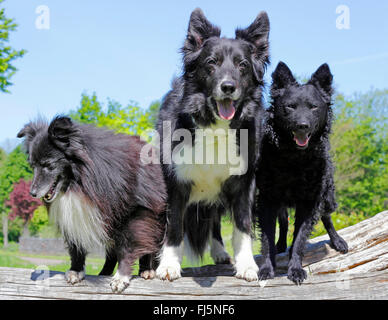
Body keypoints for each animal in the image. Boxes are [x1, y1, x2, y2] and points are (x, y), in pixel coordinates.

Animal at [17, 117, 166, 292]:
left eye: (48, 165)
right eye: (32, 166)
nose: (32, 193)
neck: (79, 180)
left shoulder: (135, 212)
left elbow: (128, 247)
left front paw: (121, 277)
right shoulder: (74, 212)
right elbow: (76, 245)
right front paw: (76, 270)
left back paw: (146, 270)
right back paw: (104, 273)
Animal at [155, 8, 270, 282]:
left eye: (242, 65)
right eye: (211, 63)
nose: (228, 87)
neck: (215, 127)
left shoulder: (244, 183)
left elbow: (242, 225)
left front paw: (247, 264)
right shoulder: (176, 182)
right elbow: (174, 227)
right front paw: (168, 264)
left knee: (216, 224)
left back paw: (220, 252)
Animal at [256, 61, 348, 284]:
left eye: (313, 107)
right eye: (290, 106)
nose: (302, 126)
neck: (294, 159)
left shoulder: (309, 201)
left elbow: (299, 238)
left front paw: (295, 269)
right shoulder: (267, 199)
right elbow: (268, 237)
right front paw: (267, 268)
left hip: (327, 196)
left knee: (327, 217)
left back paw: (337, 241)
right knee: (283, 222)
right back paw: (281, 244)